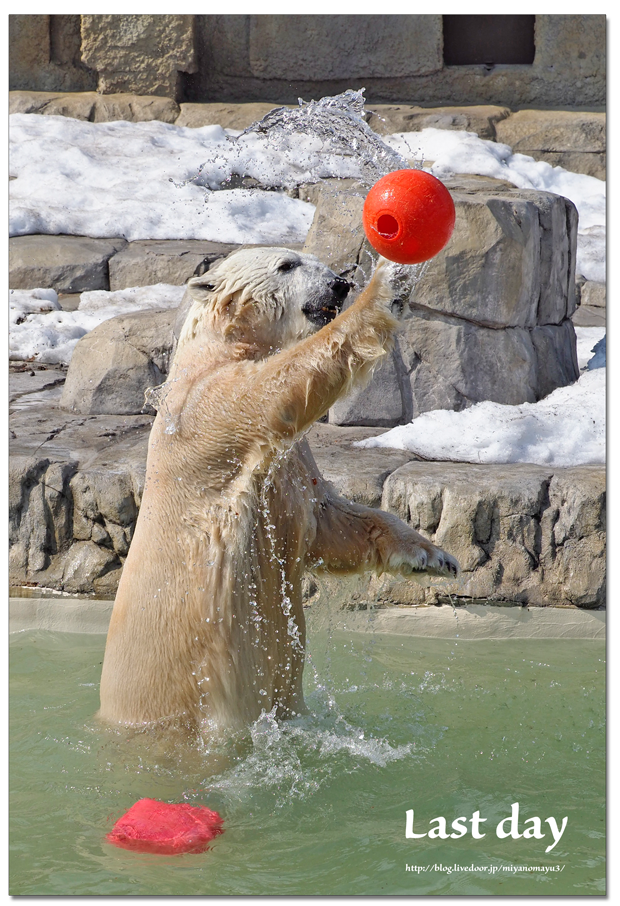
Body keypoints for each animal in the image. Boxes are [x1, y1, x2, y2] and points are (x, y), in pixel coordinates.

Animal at [99, 247, 458, 736]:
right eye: (287, 265)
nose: (339, 284)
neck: (216, 349)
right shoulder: (210, 412)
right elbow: (280, 387)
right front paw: (390, 282)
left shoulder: (293, 462)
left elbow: (325, 518)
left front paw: (432, 555)